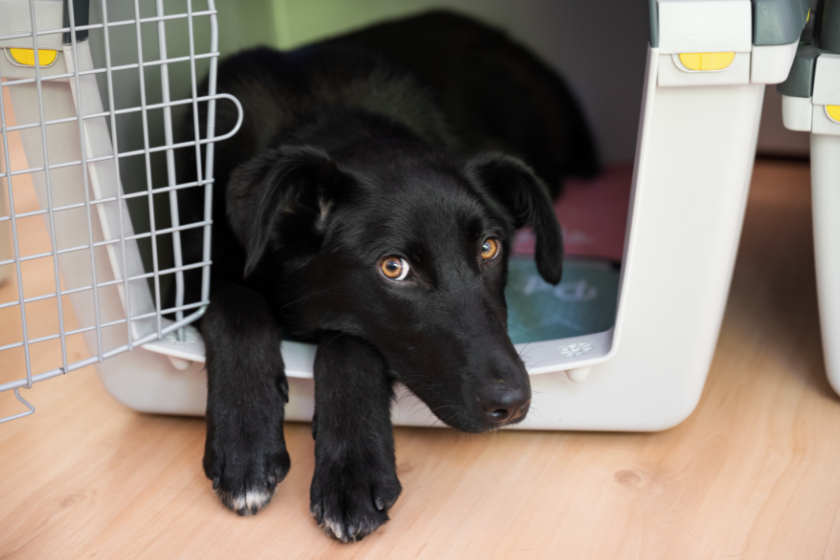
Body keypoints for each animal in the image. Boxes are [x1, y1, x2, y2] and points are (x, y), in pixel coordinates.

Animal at [177, 9, 596, 544]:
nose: (513, 403)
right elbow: (236, 306)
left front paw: (353, 473)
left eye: (489, 247)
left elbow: (350, 344)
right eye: (393, 267)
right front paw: (246, 439)